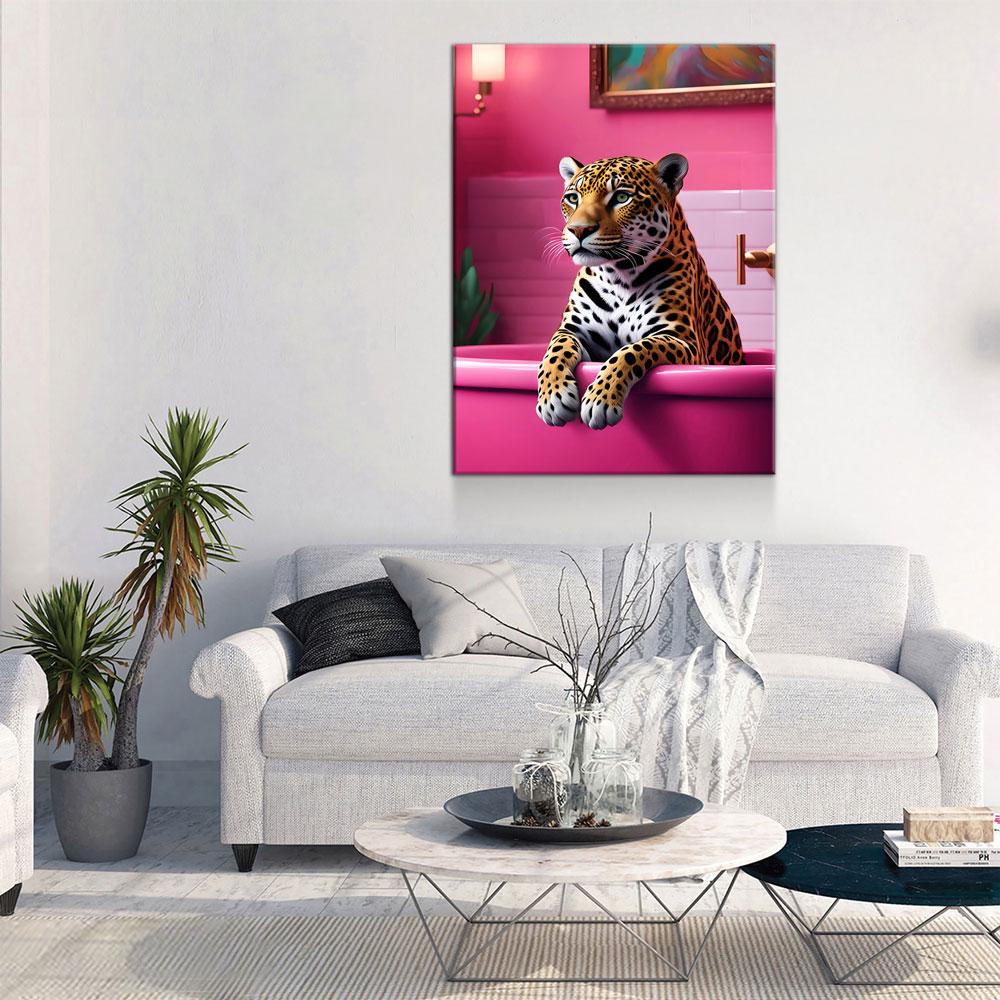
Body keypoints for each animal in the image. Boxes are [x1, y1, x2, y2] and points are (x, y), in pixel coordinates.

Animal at [536, 153, 744, 430]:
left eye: (622, 197)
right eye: (573, 198)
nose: (578, 230)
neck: (618, 277)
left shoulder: (682, 340)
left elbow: (633, 350)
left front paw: (601, 399)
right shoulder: (574, 330)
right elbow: (554, 351)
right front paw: (553, 396)